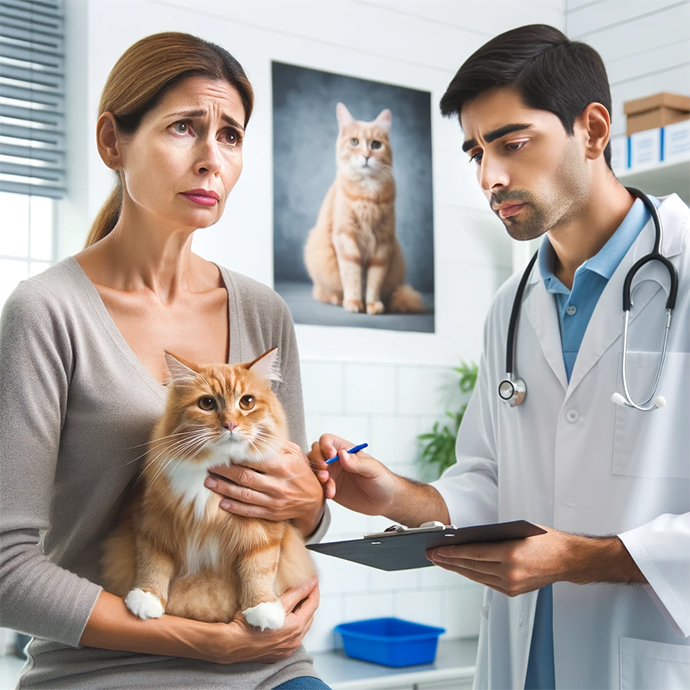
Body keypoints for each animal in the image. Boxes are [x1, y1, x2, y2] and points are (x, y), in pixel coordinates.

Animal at [101, 350, 316, 628]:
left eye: (247, 402)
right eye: (207, 404)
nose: (231, 425)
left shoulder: (264, 526)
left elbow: (259, 567)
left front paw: (263, 607)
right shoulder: (154, 520)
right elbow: (153, 562)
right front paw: (146, 598)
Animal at [302, 100, 422, 314]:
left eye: (376, 145)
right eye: (354, 142)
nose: (366, 155)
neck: (367, 196)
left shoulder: (383, 242)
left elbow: (374, 281)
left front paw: (373, 304)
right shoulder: (346, 237)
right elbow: (353, 277)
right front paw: (354, 302)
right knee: (321, 292)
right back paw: (335, 298)